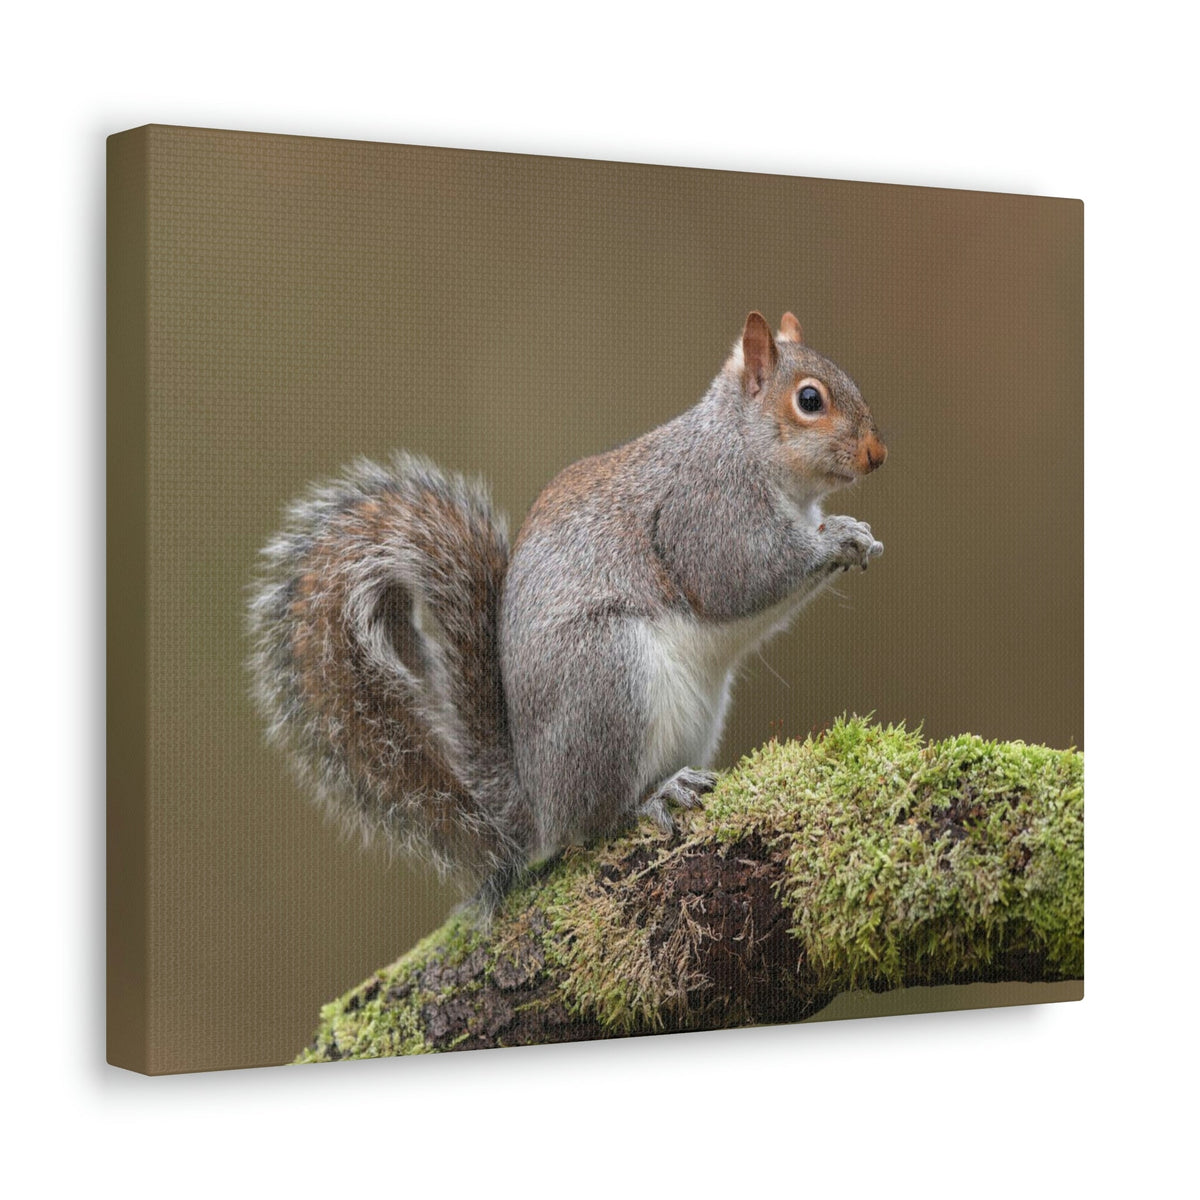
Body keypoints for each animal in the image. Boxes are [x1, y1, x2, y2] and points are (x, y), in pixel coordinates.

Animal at [248, 311, 886, 909]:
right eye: (810, 400)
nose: (877, 455)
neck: (744, 445)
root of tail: (537, 802)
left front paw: (857, 536)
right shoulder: (703, 509)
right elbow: (739, 578)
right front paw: (838, 538)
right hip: (607, 678)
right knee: (597, 817)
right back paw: (653, 796)